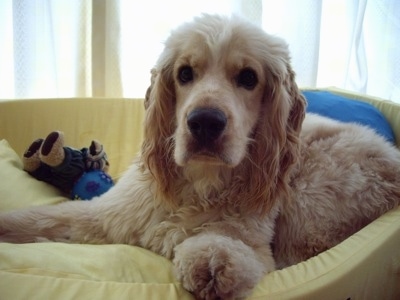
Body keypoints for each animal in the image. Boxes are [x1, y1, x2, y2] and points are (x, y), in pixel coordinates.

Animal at [0, 14, 400, 300]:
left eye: (248, 78)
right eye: (185, 73)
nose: (205, 122)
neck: (199, 181)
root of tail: (392, 159)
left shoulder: (257, 248)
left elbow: (236, 252)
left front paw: (212, 262)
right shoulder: (102, 218)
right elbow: (37, 221)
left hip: (312, 193)